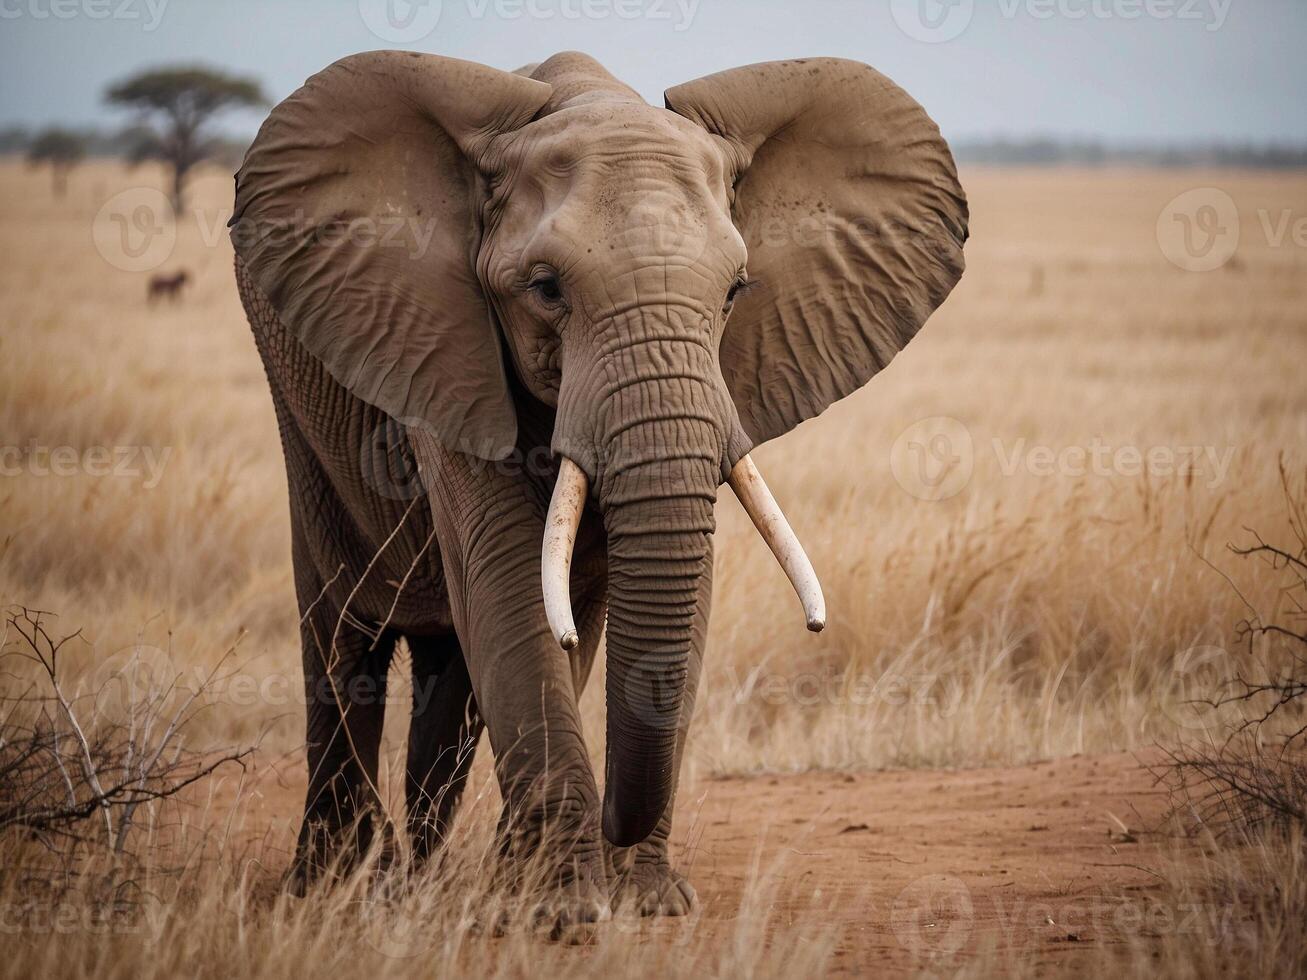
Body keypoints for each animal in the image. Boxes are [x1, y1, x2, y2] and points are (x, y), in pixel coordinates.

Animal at [230, 49, 967, 930]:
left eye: (734, 292)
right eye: (545, 287)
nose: (617, 821)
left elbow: (658, 595)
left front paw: (638, 903)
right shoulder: (442, 346)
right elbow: (509, 580)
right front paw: (562, 912)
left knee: (456, 669)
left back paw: (422, 880)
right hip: (300, 407)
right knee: (345, 633)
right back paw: (336, 889)